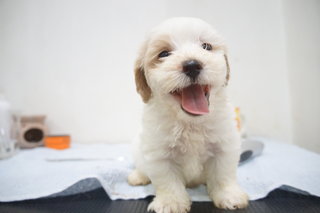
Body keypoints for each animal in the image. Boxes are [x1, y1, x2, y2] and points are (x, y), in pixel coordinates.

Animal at [129, 17, 249, 212]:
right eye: (164, 54)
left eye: (206, 46)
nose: (192, 65)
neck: (191, 123)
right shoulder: (160, 155)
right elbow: (168, 181)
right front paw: (171, 203)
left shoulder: (224, 146)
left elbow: (223, 174)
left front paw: (229, 195)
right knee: (141, 166)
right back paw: (138, 176)